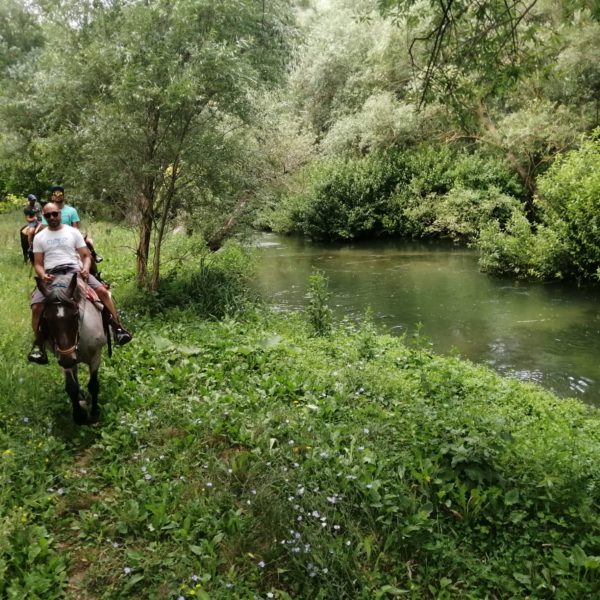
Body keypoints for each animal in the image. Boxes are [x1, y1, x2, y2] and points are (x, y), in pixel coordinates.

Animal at [36, 274, 108, 424]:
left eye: (75, 315)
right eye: (45, 318)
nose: (68, 359)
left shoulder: (96, 356)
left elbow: (93, 385)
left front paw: (94, 414)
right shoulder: (63, 356)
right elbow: (71, 387)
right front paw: (79, 415)